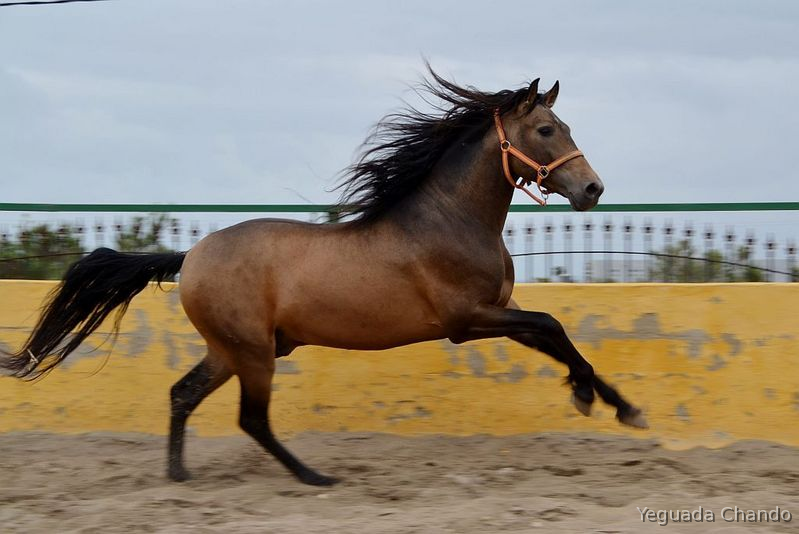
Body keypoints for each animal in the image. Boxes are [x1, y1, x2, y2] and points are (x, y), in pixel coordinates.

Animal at [1, 68, 647, 487]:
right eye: (546, 130)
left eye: (563, 125)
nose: (593, 189)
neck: (450, 219)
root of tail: (191, 257)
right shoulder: (468, 320)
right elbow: (554, 324)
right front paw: (591, 398)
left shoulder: (498, 317)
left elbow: (555, 335)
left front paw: (618, 406)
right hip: (253, 352)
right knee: (250, 418)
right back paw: (314, 477)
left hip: (232, 349)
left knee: (183, 394)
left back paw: (179, 475)